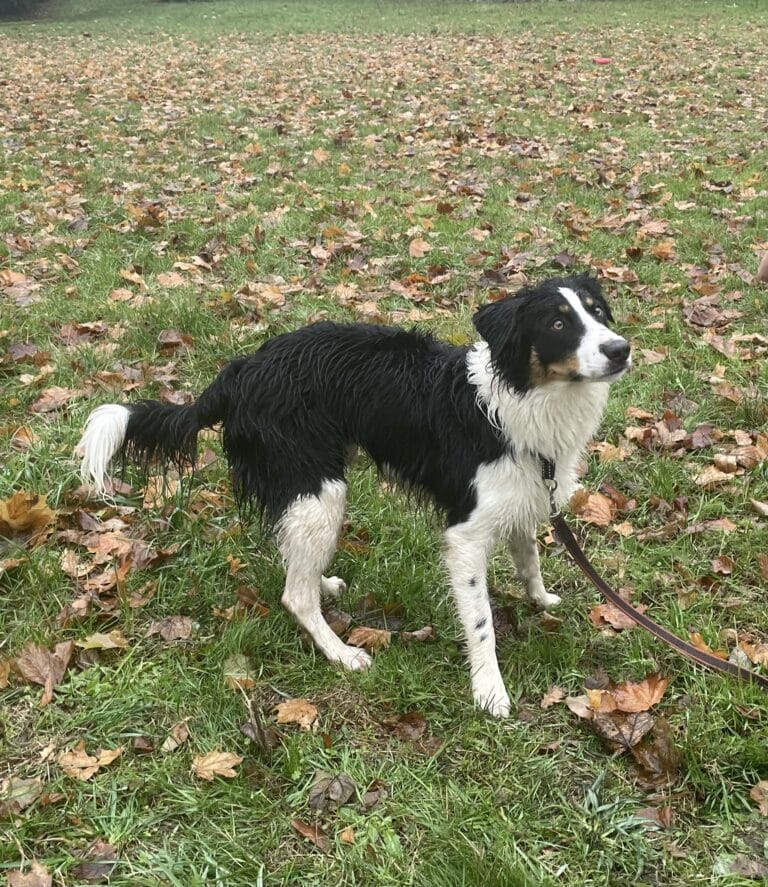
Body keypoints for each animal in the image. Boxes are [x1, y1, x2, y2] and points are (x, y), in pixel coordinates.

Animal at [76, 274, 632, 720]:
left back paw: (322, 582)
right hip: (319, 489)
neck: (519, 399)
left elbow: (529, 556)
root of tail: (242, 368)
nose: (621, 349)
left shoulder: (525, 494)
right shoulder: (466, 533)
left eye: (597, 312)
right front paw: (489, 692)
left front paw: (540, 599)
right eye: (558, 324)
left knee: (294, 558)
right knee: (293, 595)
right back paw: (341, 651)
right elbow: (481, 623)